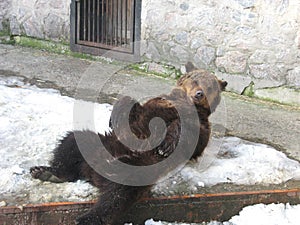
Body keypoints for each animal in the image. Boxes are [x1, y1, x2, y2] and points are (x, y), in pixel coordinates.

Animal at [30, 62, 227, 224]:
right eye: (194, 79)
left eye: (210, 85)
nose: (199, 94)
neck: (184, 102)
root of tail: (93, 172)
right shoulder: (154, 106)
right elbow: (132, 105)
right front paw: (114, 118)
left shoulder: (199, 124)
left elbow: (190, 136)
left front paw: (166, 146)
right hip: (99, 144)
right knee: (72, 142)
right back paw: (47, 172)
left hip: (138, 168)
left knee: (117, 195)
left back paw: (87, 218)